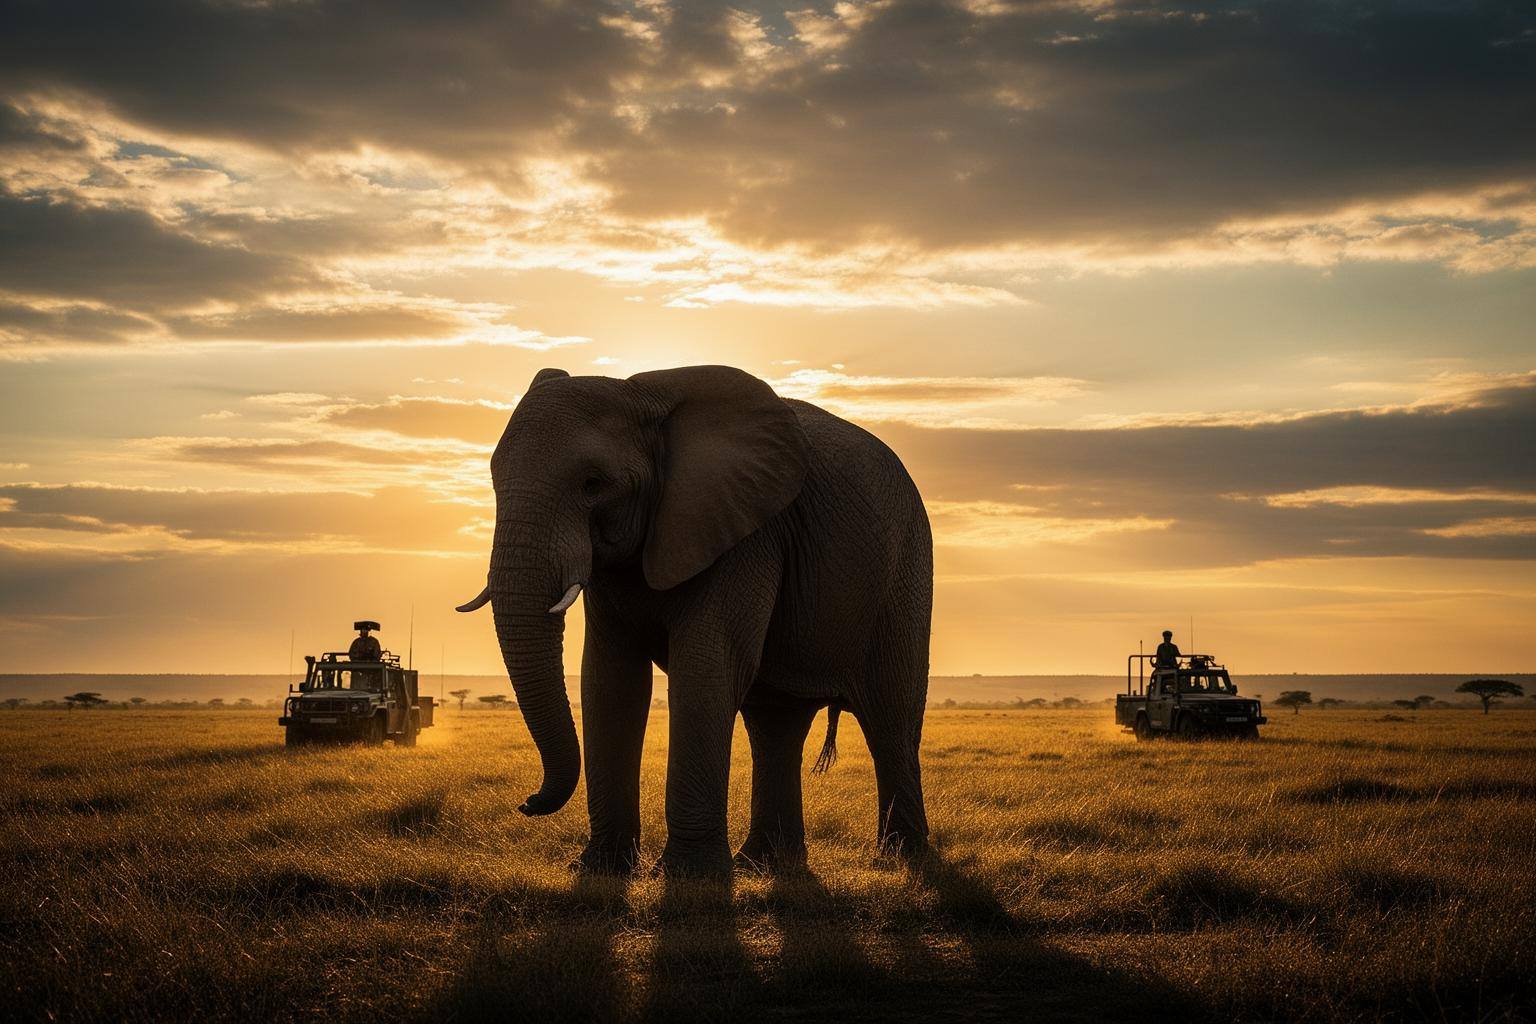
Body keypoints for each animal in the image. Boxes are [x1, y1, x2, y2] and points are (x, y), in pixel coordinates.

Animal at [456, 364, 932, 877]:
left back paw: (901, 859)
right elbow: (610, 679)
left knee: (890, 716)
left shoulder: (744, 534)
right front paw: (601, 869)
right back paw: (760, 865)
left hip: (905, 572)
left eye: (593, 483)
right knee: (775, 725)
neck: (645, 397)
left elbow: (704, 667)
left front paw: (689, 877)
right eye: (494, 481)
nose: (526, 803)